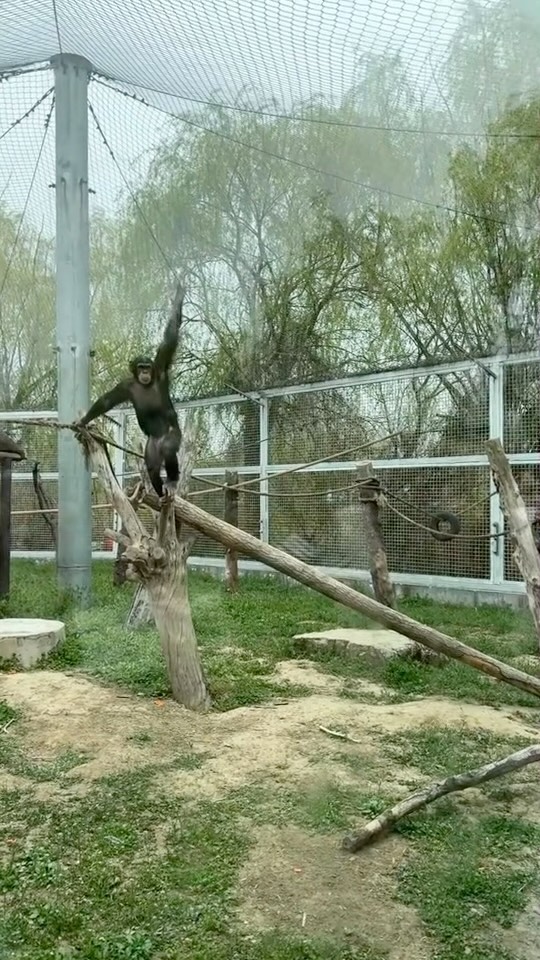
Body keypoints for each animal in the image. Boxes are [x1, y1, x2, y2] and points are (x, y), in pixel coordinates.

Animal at [78, 284, 185, 502]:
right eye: (140, 366)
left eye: (148, 367)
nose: (144, 372)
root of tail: (158, 440)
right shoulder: (125, 385)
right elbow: (107, 400)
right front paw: (83, 422)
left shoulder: (161, 365)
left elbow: (170, 335)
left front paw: (179, 294)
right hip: (151, 447)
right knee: (152, 467)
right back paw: (159, 493)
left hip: (172, 434)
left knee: (169, 448)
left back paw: (171, 482)